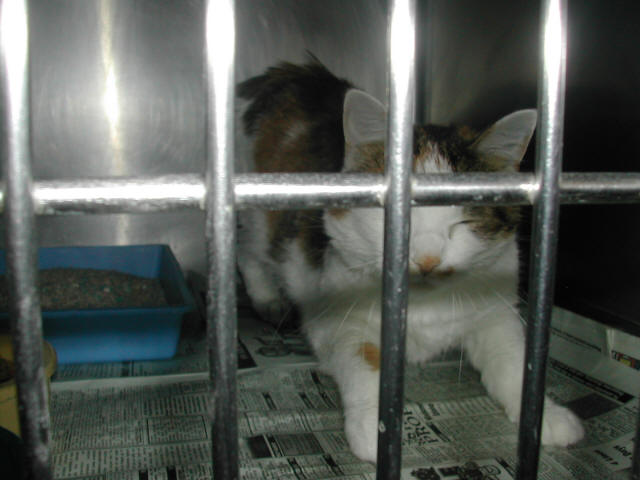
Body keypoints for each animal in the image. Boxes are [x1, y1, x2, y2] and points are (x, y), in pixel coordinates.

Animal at [236, 58, 584, 463]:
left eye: (464, 221)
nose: (428, 260)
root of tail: (300, 74)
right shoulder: (337, 316)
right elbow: (362, 357)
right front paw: (376, 430)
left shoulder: (495, 308)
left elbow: (514, 358)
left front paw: (545, 416)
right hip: (262, 218)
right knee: (250, 251)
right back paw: (267, 298)